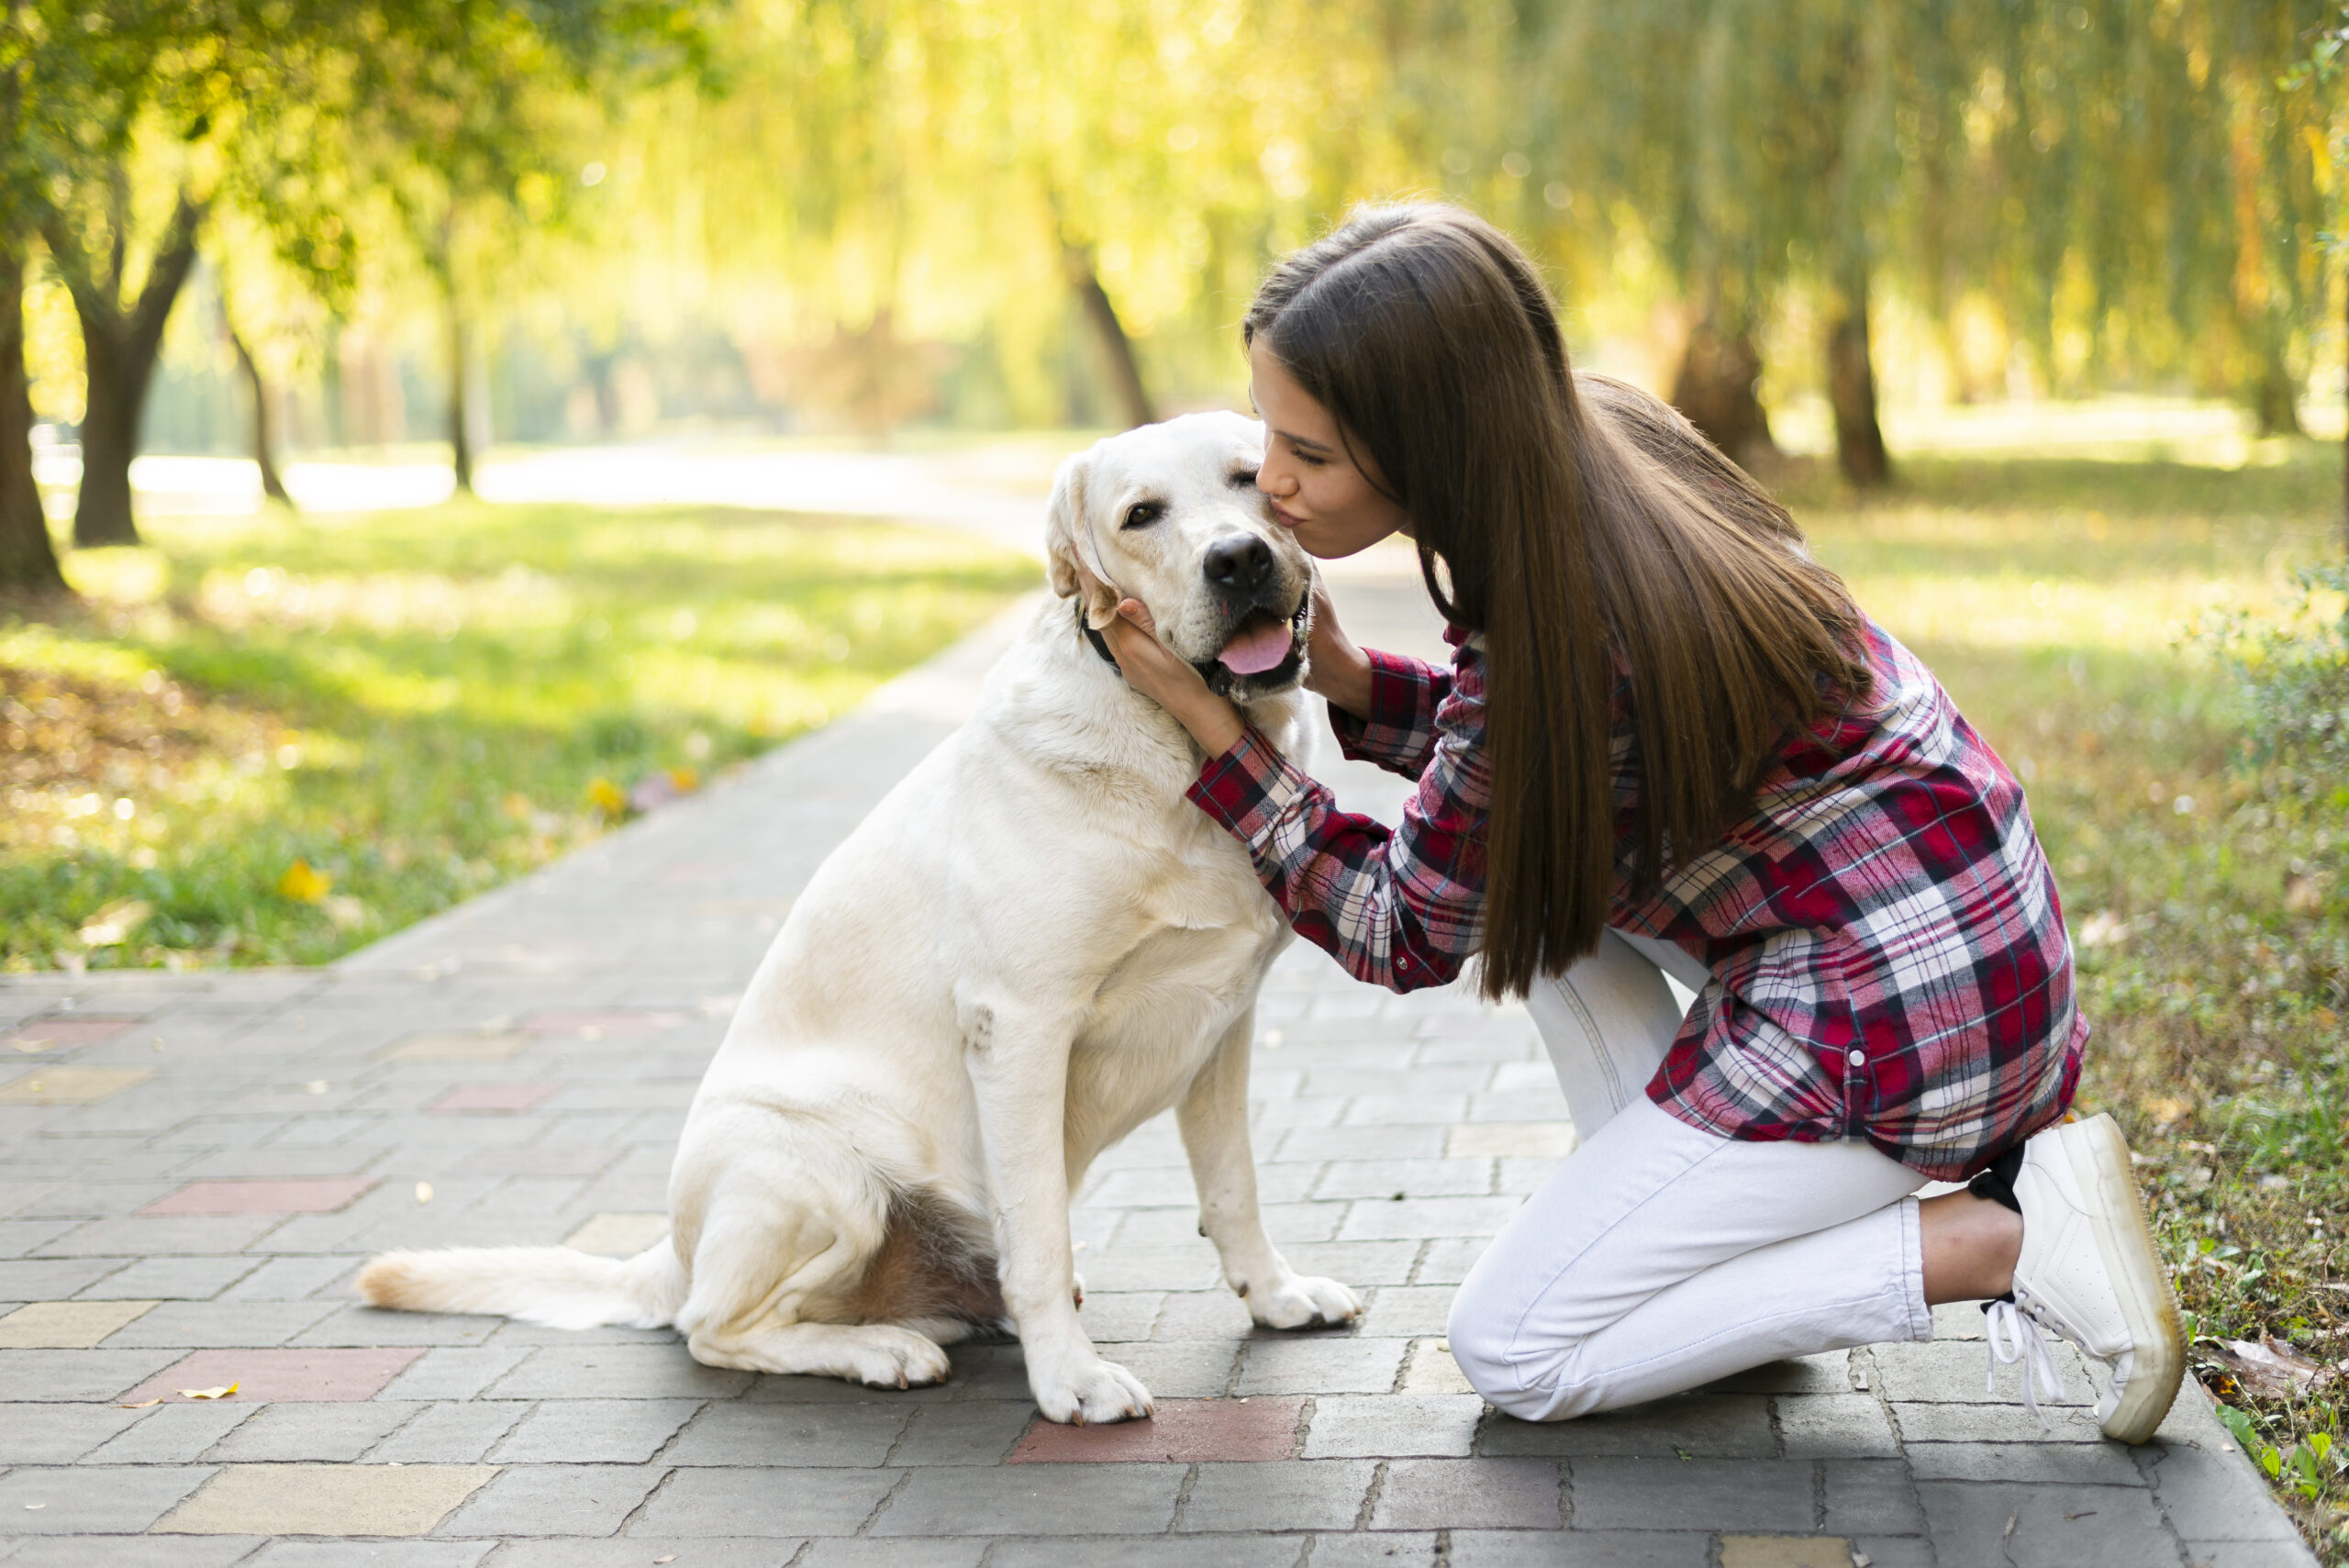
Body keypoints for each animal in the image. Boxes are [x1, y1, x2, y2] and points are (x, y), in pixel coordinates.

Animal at [359, 410, 1372, 1427]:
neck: (1178, 752)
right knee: (712, 1326)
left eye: (1251, 478)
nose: (1237, 559)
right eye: (1141, 515)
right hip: (823, 1173)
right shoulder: (1021, 1026)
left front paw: (1277, 1295)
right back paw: (880, 1349)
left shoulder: (1222, 1023)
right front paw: (1070, 1378)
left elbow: (1233, 1188)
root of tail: (672, 1250)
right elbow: (1041, 1234)